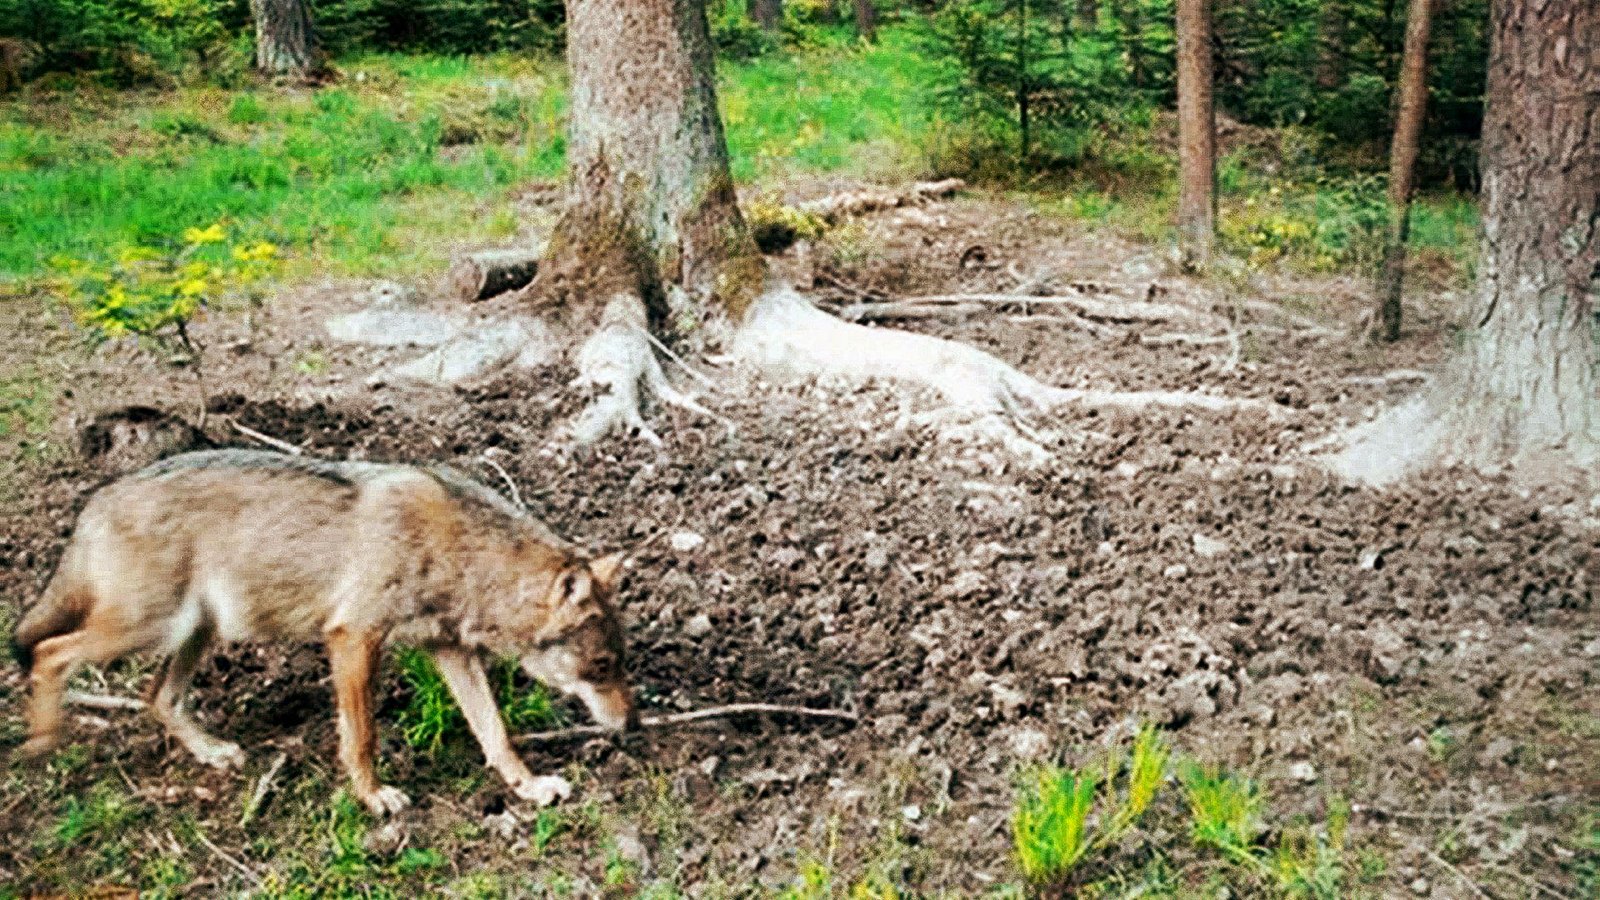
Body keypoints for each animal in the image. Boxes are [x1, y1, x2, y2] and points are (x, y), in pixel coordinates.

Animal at [11, 449, 634, 816]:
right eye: (603, 667)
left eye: (619, 664)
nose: (632, 724)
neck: (458, 552)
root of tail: (95, 499)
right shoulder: (353, 638)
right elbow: (361, 738)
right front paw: (374, 797)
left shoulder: (449, 650)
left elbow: (496, 733)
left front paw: (529, 787)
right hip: (149, 627)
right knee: (47, 654)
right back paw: (43, 742)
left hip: (195, 631)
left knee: (156, 696)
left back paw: (213, 753)